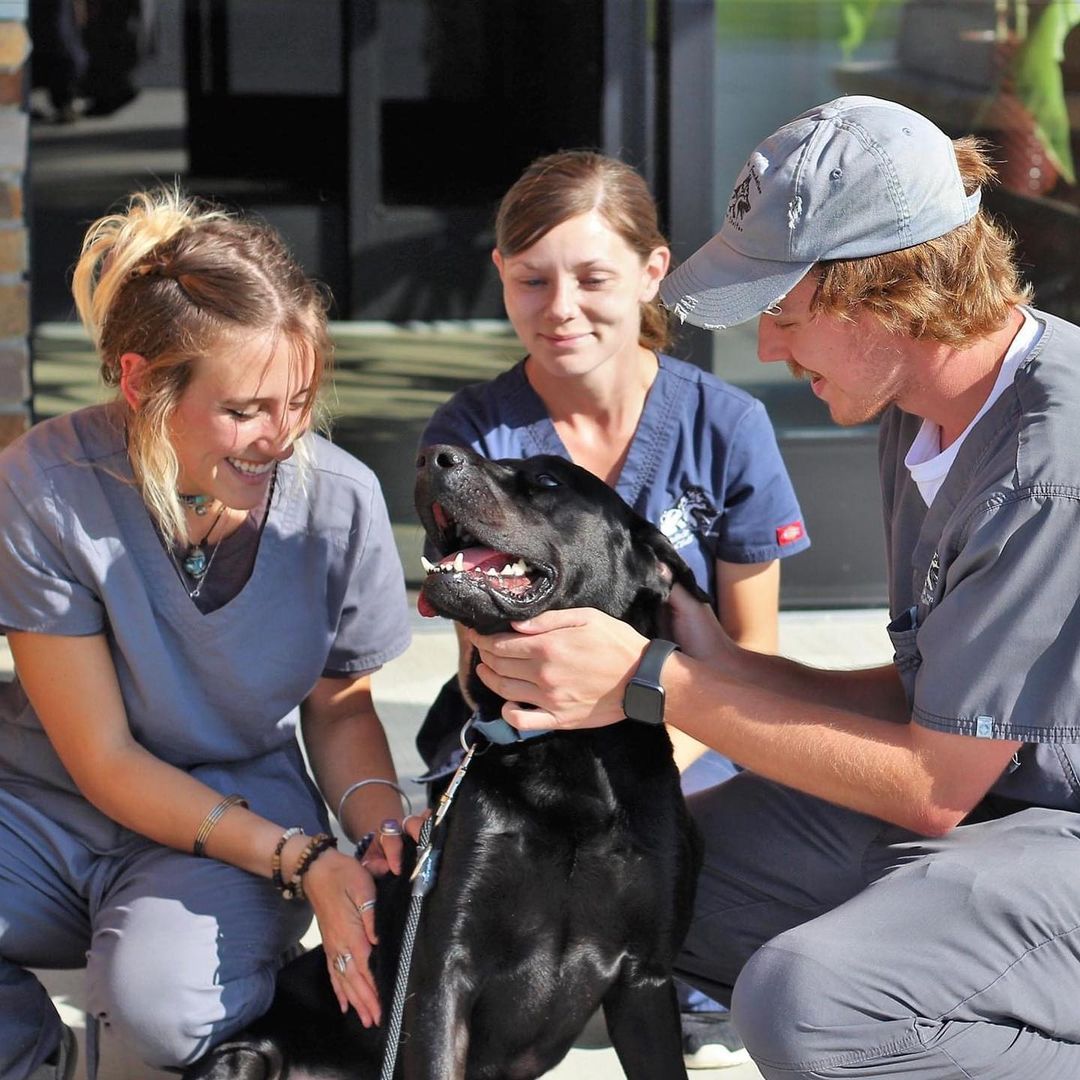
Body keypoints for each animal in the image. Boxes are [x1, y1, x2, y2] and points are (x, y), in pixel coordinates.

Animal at [185, 444, 704, 1080]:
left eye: (547, 479)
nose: (433, 456)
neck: (564, 750)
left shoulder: (646, 978)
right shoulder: (441, 974)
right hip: (243, 1055)